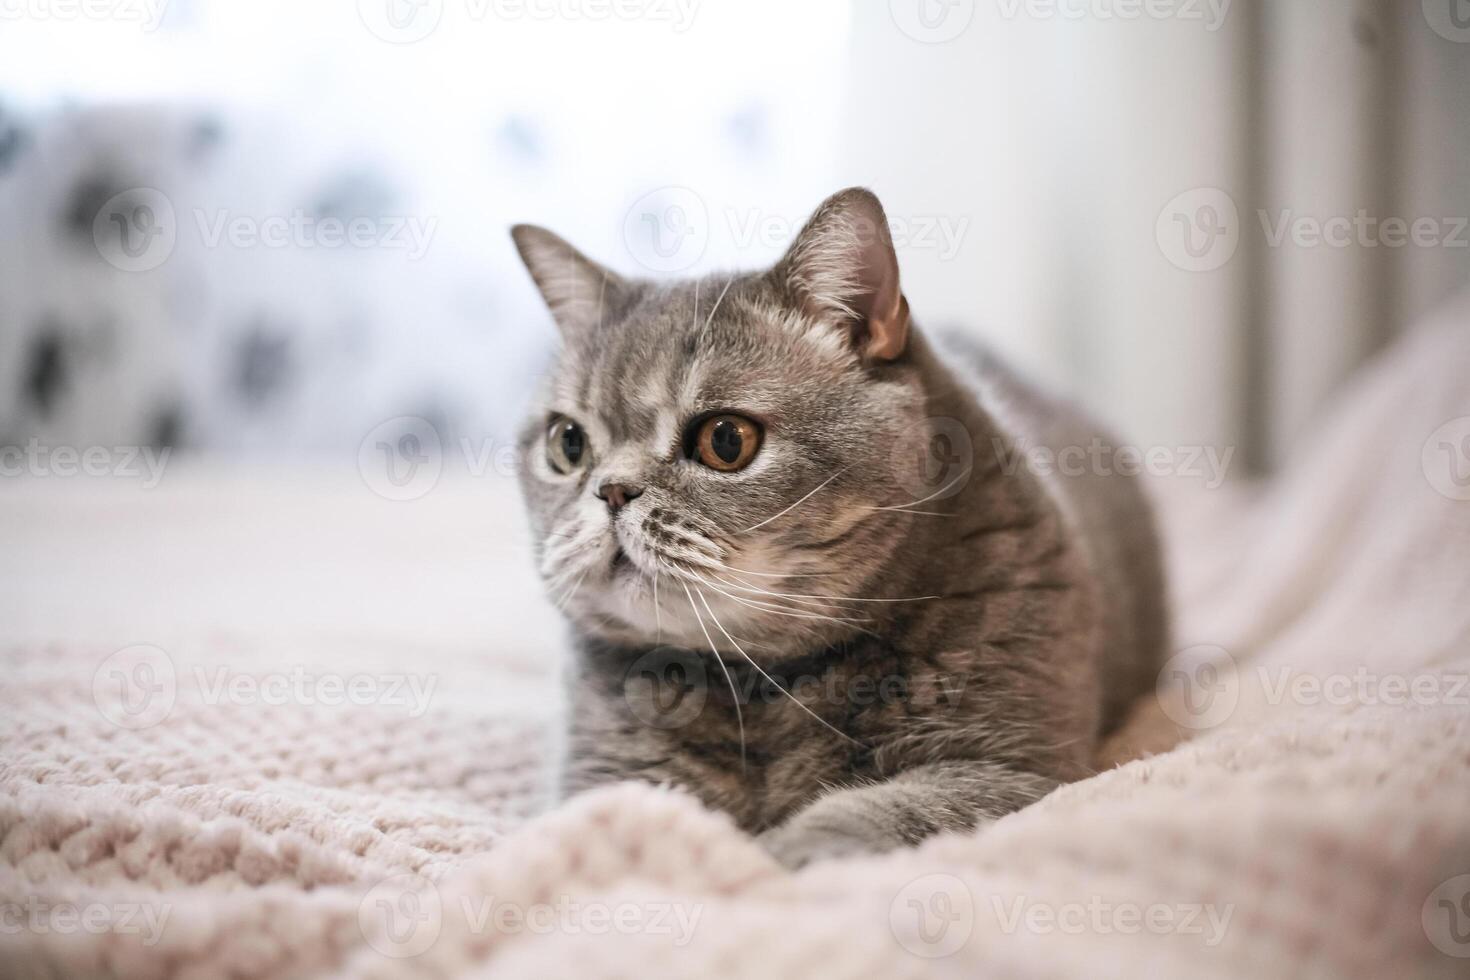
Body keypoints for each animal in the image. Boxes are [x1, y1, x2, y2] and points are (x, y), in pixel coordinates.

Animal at [511, 188, 1164, 869]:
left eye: (726, 440)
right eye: (568, 443)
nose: (611, 489)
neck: (759, 682)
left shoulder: (1008, 771)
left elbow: (856, 817)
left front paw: (771, 856)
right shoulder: (606, 775)